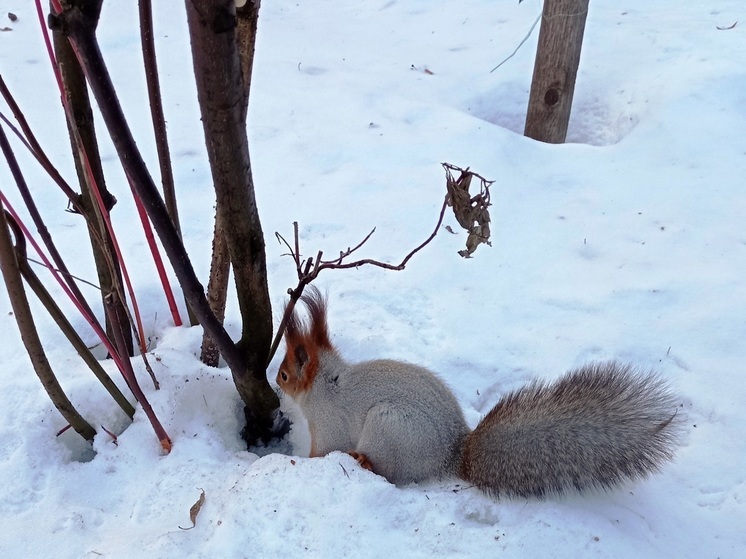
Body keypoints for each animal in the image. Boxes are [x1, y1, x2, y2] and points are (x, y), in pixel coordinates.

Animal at [274, 288, 680, 498]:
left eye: (283, 373)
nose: (276, 385)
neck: (327, 384)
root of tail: (454, 455)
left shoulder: (330, 427)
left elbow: (323, 451)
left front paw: (304, 463)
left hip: (387, 429)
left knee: (389, 474)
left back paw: (364, 462)